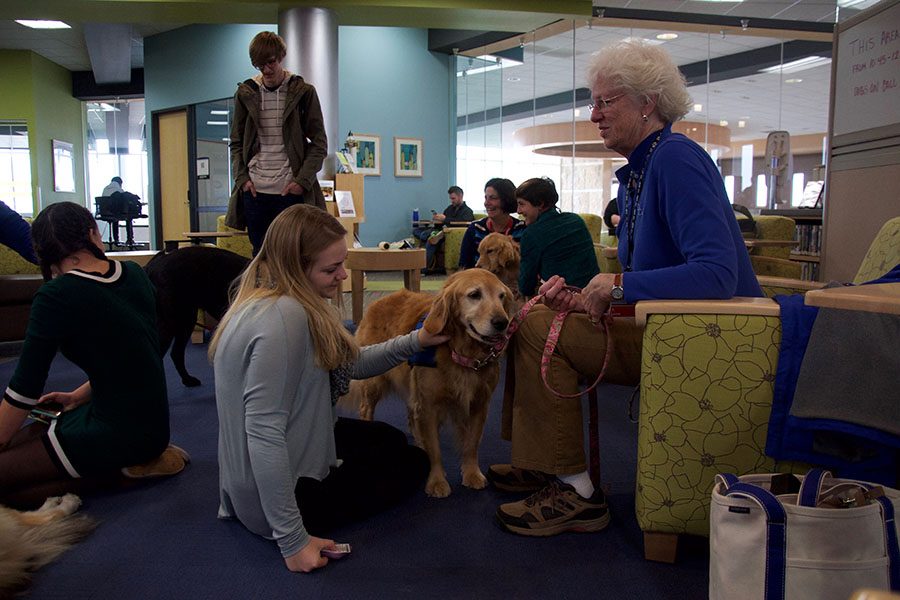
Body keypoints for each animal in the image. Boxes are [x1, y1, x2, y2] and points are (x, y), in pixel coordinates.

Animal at [350, 268, 512, 496]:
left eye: (501, 296)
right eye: (474, 295)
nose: (502, 323)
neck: (463, 353)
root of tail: (377, 302)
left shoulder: (480, 404)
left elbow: (472, 443)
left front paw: (472, 473)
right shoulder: (428, 405)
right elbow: (434, 449)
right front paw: (436, 481)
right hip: (374, 383)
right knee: (366, 408)